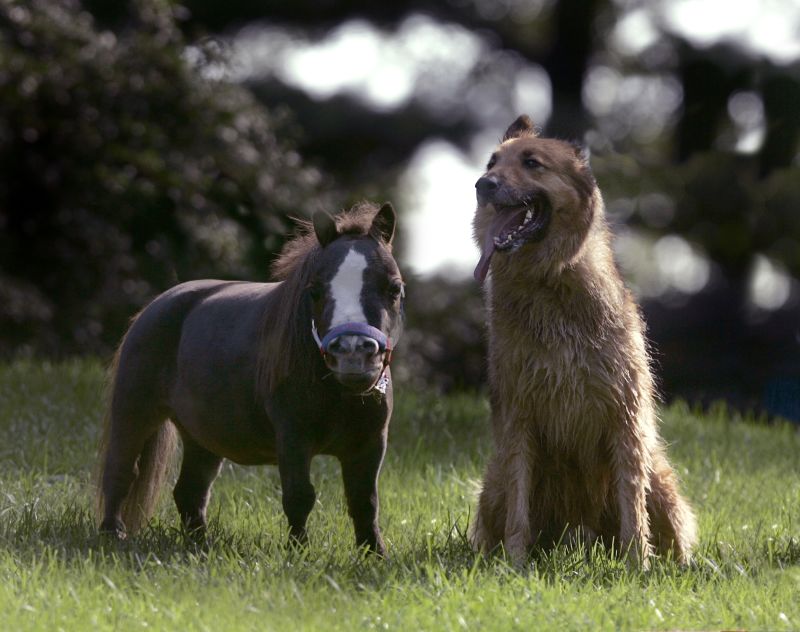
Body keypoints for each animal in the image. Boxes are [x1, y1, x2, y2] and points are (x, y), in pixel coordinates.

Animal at [97, 201, 404, 552]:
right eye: (314, 291)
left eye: (394, 288)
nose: (352, 354)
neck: (336, 391)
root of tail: (155, 306)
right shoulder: (293, 438)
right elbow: (300, 497)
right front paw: (298, 552)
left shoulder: (369, 443)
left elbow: (365, 502)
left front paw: (374, 554)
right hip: (135, 413)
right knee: (122, 470)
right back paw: (112, 533)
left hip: (202, 437)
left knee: (190, 491)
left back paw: (201, 543)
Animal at [468, 115, 692, 568]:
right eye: (491, 162)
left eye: (532, 163)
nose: (483, 184)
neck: (549, 281)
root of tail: (581, 531)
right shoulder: (519, 418)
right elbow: (519, 510)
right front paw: (515, 564)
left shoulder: (625, 415)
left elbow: (632, 509)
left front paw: (638, 566)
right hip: (494, 480)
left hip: (659, 476)